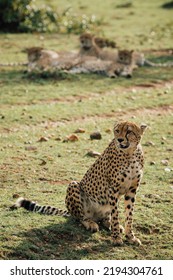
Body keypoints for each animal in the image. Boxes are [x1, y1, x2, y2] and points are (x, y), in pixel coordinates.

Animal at [10, 120, 147, 245]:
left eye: (129, 131)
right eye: (117, 130)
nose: (119, 139)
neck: (130, 153)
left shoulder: (132, 190)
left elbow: (129, 214)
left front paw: (130, 237)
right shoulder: (113, 189)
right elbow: (116, 215)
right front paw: (116, 238)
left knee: (106, 217)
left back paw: (111, 224)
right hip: (74, 185)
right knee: (81, 217)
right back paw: (91, 223)